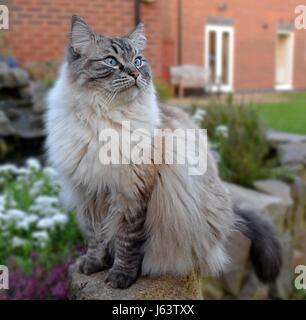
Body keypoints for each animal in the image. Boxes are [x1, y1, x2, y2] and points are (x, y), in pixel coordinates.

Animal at [45, 15, 282, 290]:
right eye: (111, 61)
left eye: (138, 60)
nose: (135, 73)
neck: (105, 118)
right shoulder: (88, 194)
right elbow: (95, 239)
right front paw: (92, 266)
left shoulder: (132, 196)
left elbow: (127, 244)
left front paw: (120, 277)